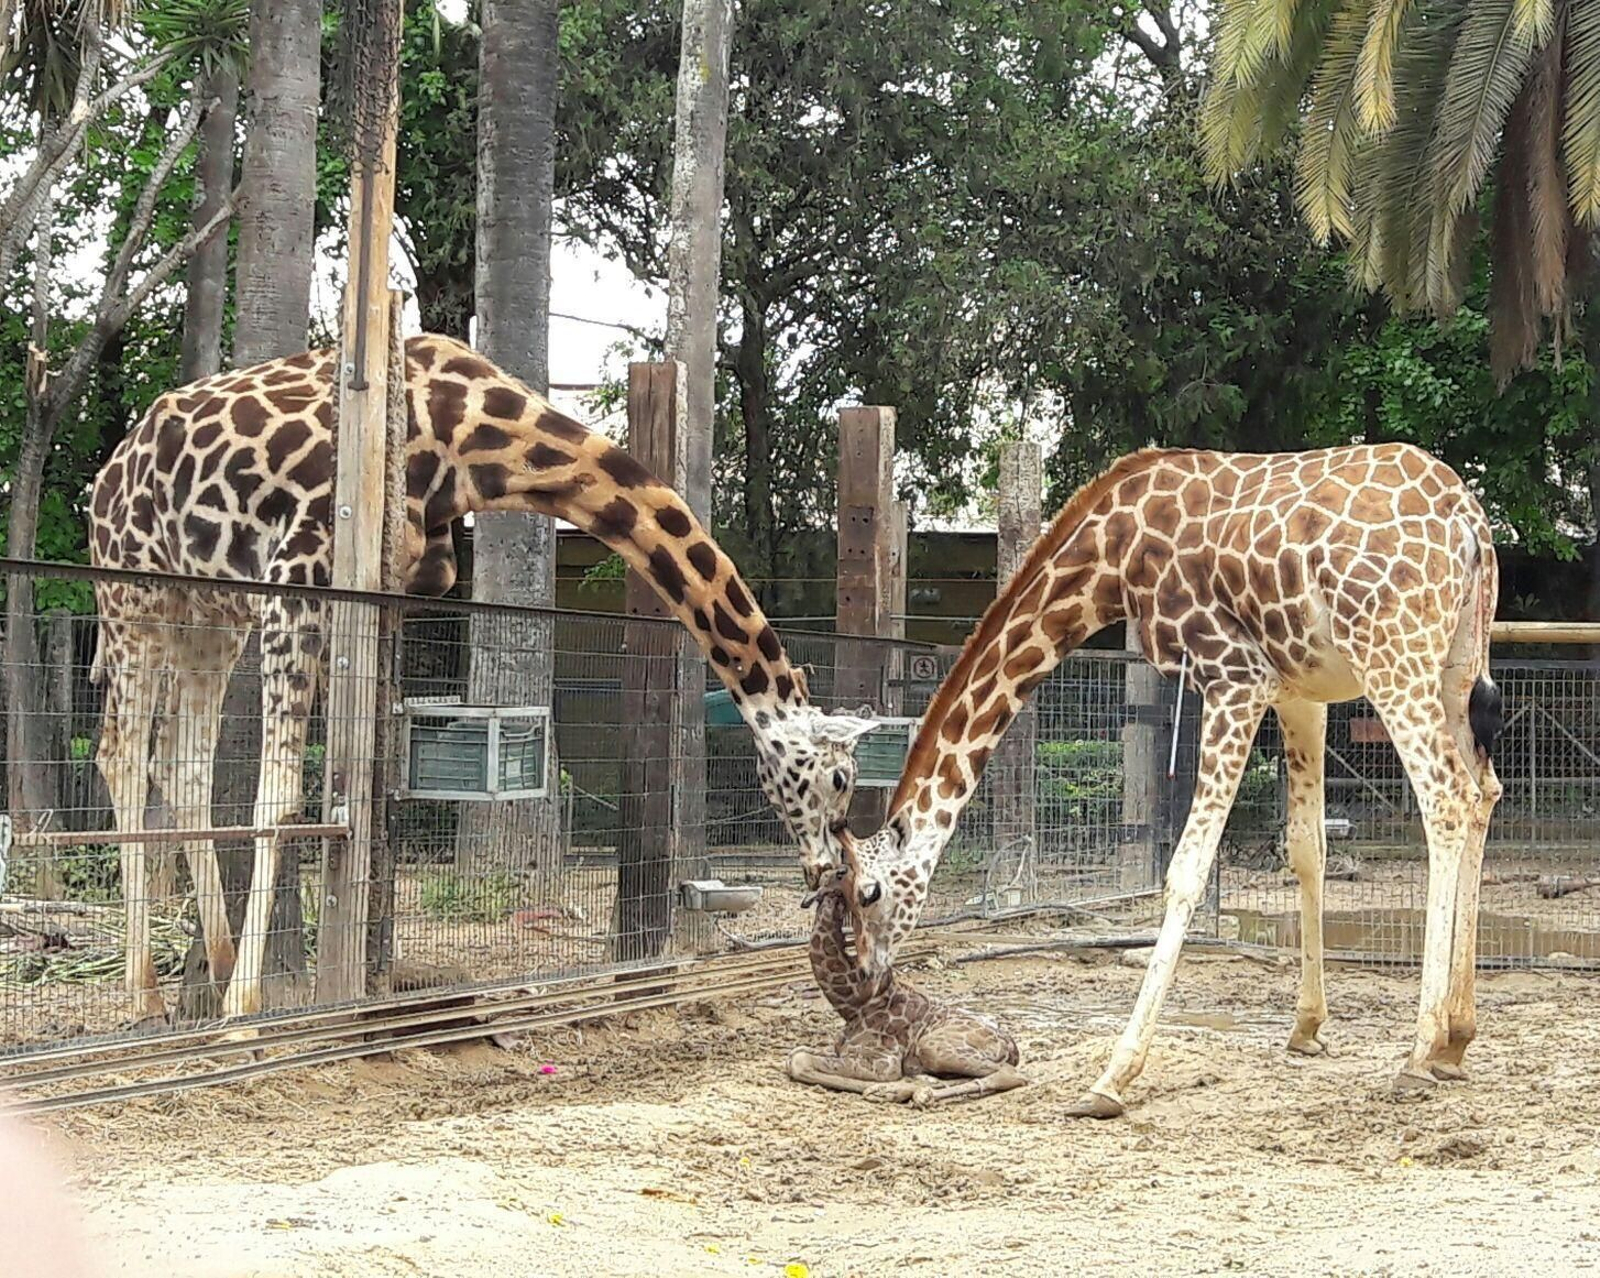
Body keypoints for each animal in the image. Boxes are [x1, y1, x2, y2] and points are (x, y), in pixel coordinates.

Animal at [88, 334, 878, 1026]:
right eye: (839, 779)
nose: (837, 872)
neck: (467, 438)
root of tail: (105, 479)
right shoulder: (298, 576)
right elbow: (282, 796)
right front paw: (247, 1014)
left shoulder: (401, 585)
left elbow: (373, 785)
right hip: (136, 592)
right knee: (119, 753)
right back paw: (149, 996)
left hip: (208, 614)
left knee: (179, 763)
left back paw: (213, 969)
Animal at [785, 867, 1027, 1107]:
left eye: (838, 875)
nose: (810, 896)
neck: (853, 1005)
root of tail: (1012, 1047)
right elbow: (795, 1054)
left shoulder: (883, 1061)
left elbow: (799, 1060)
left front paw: (886, 1088)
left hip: (932, 1046)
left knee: (1011, 1074)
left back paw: (909, 1093)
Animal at [838, 444, 1504, 1117]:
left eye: (868, 893)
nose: (867, 975)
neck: (1112, 554)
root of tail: (1467, 521)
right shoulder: (1297, 691)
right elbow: (1306, 848)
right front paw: (1307, 1028)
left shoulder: (1234, 677)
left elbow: (1186, 869)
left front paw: (1112, 1076)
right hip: (1456, 663)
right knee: (1484, 792)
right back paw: (1456, 1038)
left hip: (1391, 653)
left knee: (1447, 796)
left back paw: (1419, 1053)